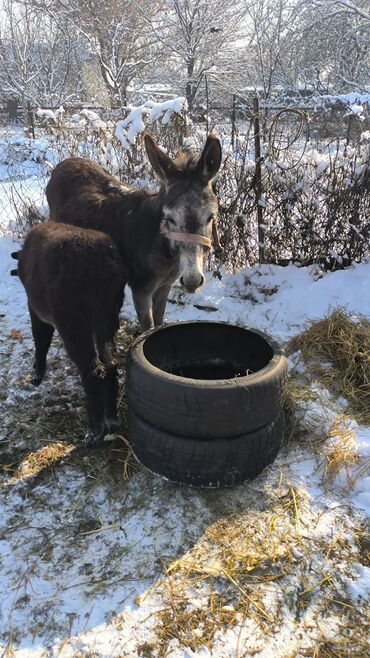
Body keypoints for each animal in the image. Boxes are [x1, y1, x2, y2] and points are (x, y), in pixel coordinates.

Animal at [17, 222, 123, 446]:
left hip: (73, 323)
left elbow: (41, 340)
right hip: (107, 317)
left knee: (93, 370)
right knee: (110, 363)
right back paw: (111, 420)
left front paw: (37, 376)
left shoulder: (36, 311)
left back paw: (92, 432)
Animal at [44, 133, 221, 330]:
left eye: (211, 217)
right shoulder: (140, 289)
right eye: (169, 218)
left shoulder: (165, 285)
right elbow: (148, 327)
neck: (166, 253)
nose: (192, 281)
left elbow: (159, 320)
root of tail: (64, 163)